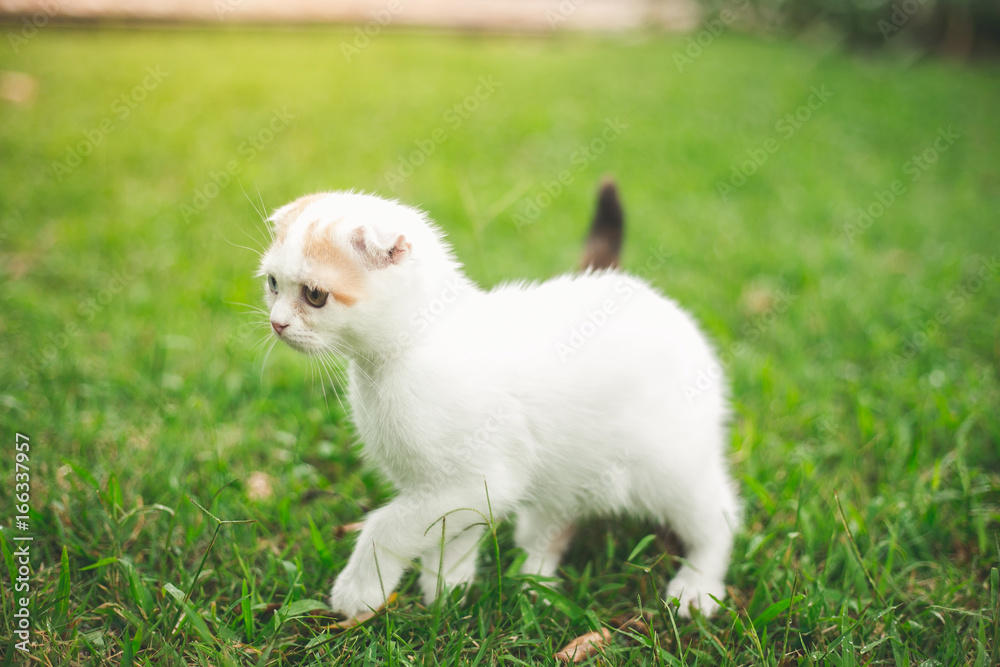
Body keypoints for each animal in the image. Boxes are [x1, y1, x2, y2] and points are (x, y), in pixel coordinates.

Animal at [258, 185, 740, 620]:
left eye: (315, 295)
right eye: (273, 284)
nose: (277, 323)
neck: (403, 355)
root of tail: (633, 287)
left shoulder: (480, 478)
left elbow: (388, 526)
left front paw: (360, 590)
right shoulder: (454, 487)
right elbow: (454, 530)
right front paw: (448, 586)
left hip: (670, 468)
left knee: (722, 516)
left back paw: (697, 586)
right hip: (567, 465)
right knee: (555, 516)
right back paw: (536, 577)